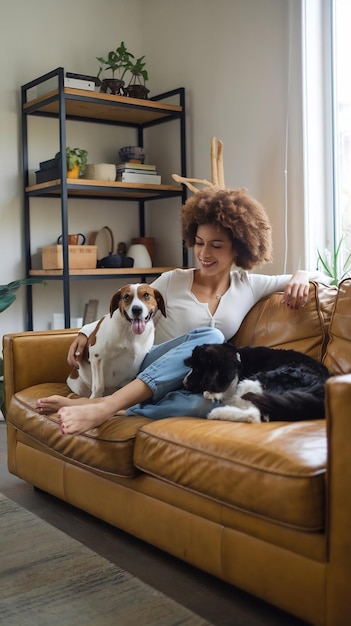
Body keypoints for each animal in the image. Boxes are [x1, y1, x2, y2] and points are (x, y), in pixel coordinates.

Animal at [183, 344, 332, 422]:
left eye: (197, 369)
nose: (184, 383)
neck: (238, 361)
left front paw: (212, 393)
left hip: (259, 380)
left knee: (254, 415)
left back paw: (217, 413)